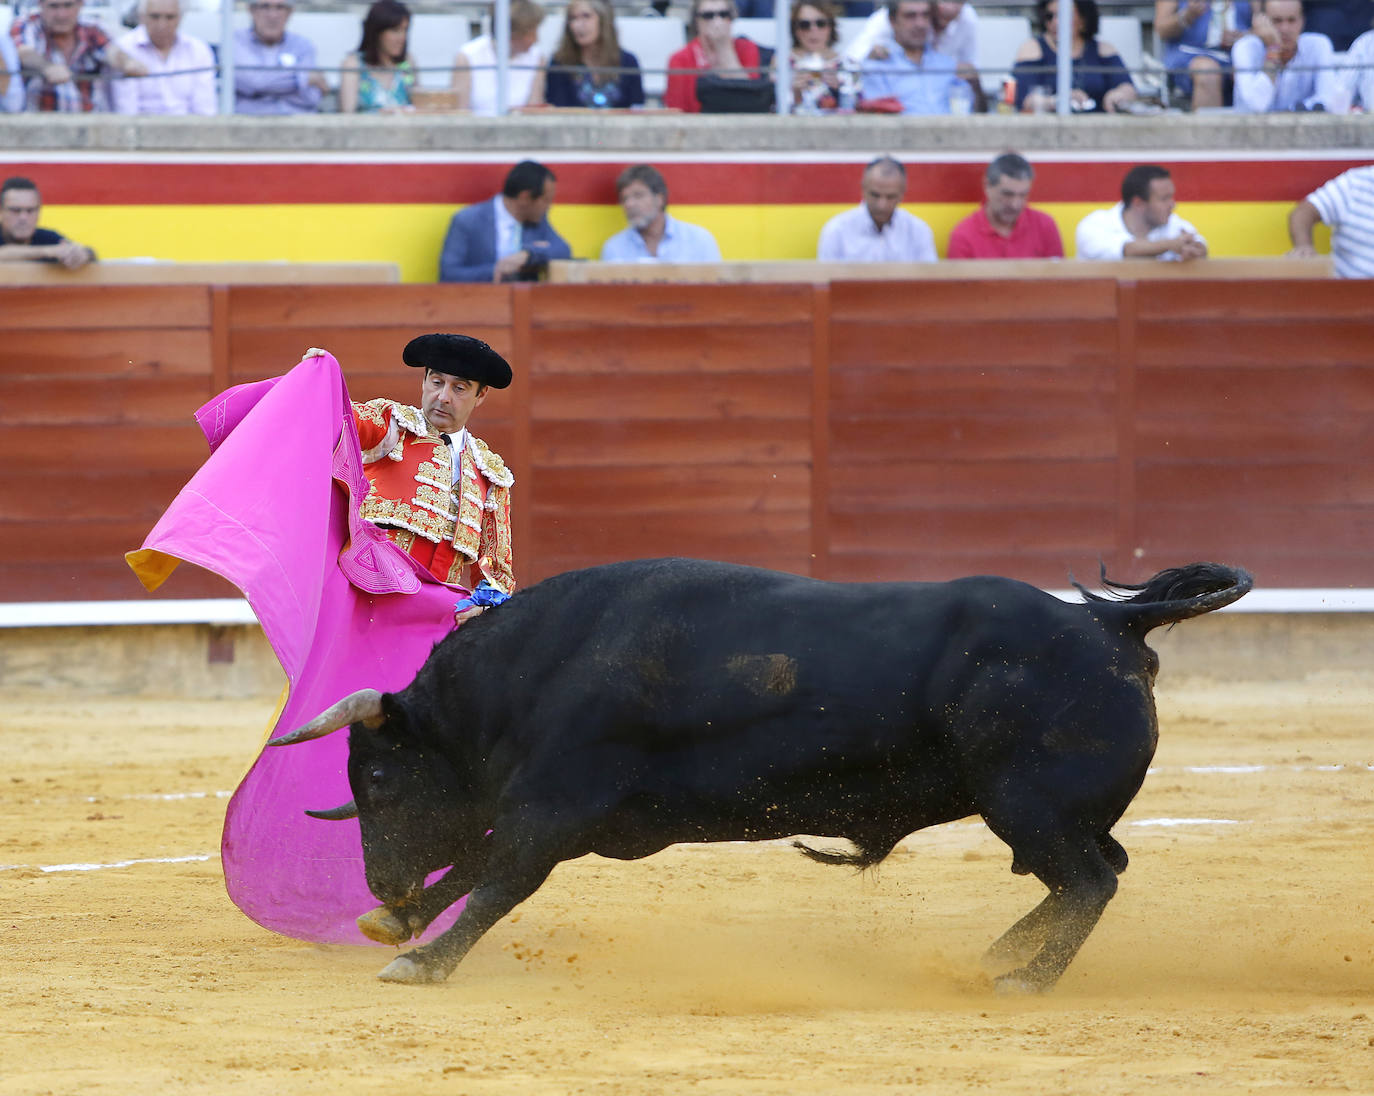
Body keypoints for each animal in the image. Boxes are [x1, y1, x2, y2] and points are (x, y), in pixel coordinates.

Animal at [273, 557, 1253, 994]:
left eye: (382, 782)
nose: (380, 882)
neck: (537, 670)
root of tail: (1109, 628)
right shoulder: (574, 816)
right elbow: (477, 861)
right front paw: (397, 924)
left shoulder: (556, 805)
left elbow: (497, 877)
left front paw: (420, 958)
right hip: (1052, 812)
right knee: (1096, 872)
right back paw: (1001, 955)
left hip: (1030, 805)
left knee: (1087, 880)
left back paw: (1024, 979)